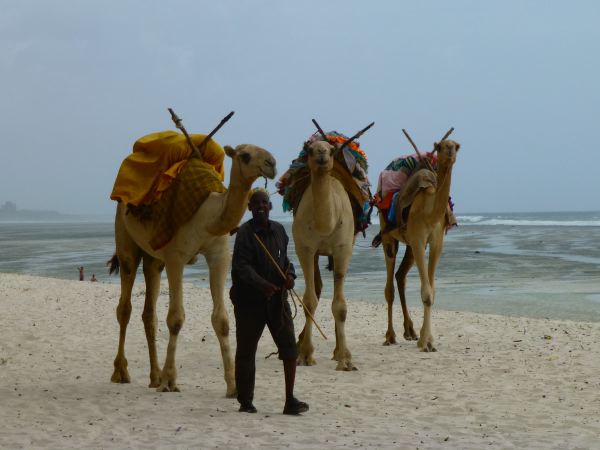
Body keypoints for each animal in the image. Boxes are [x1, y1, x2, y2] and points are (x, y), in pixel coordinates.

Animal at [109, 143, 276, 394]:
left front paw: (232, 386)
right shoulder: (176, 257)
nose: (272, 164)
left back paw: (154, 376)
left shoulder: (219, 255)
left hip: (154, 258)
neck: (207, 216)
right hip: (125, 239)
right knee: (124, 306)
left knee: (149, 311)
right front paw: (169, 381)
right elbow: (176, 319)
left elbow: (222, 321)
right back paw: (122, 372)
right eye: (245, 155)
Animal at [380, 138, 460, 352]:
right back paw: (390, 336)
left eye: (456, 146)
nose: (450, 152)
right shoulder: (418, 239)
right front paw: (425, 343)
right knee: (389, 286)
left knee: (400, 276)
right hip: (388, 236)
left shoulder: (436, 242)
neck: (430, 211)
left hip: (409, 245)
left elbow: (432, 290)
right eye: (441, 146)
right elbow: (426, 293)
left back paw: (410, 331)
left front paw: (427, 339)